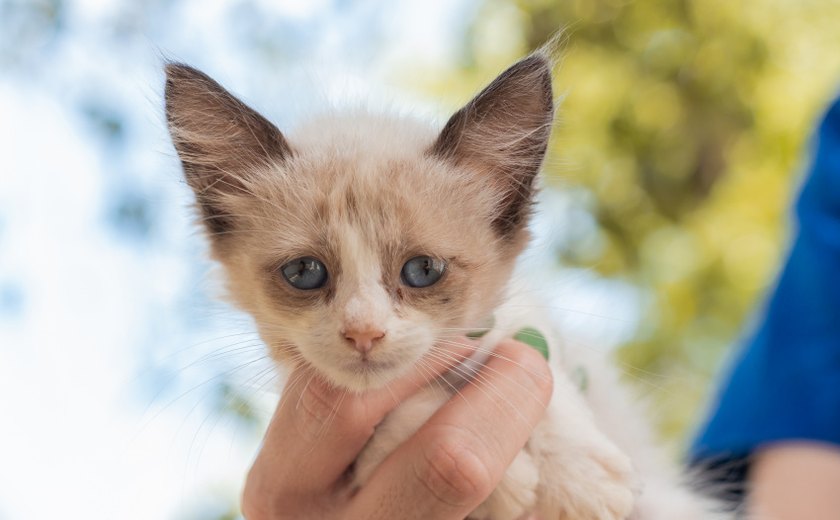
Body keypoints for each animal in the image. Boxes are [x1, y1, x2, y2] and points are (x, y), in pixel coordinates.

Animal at [164, 49, 728, 520]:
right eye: (305, 272)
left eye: (423, 271)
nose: (363, 333)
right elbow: (397, 408)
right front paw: (509, 486)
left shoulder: (528, 328)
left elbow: (535, 352)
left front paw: (579, 480)